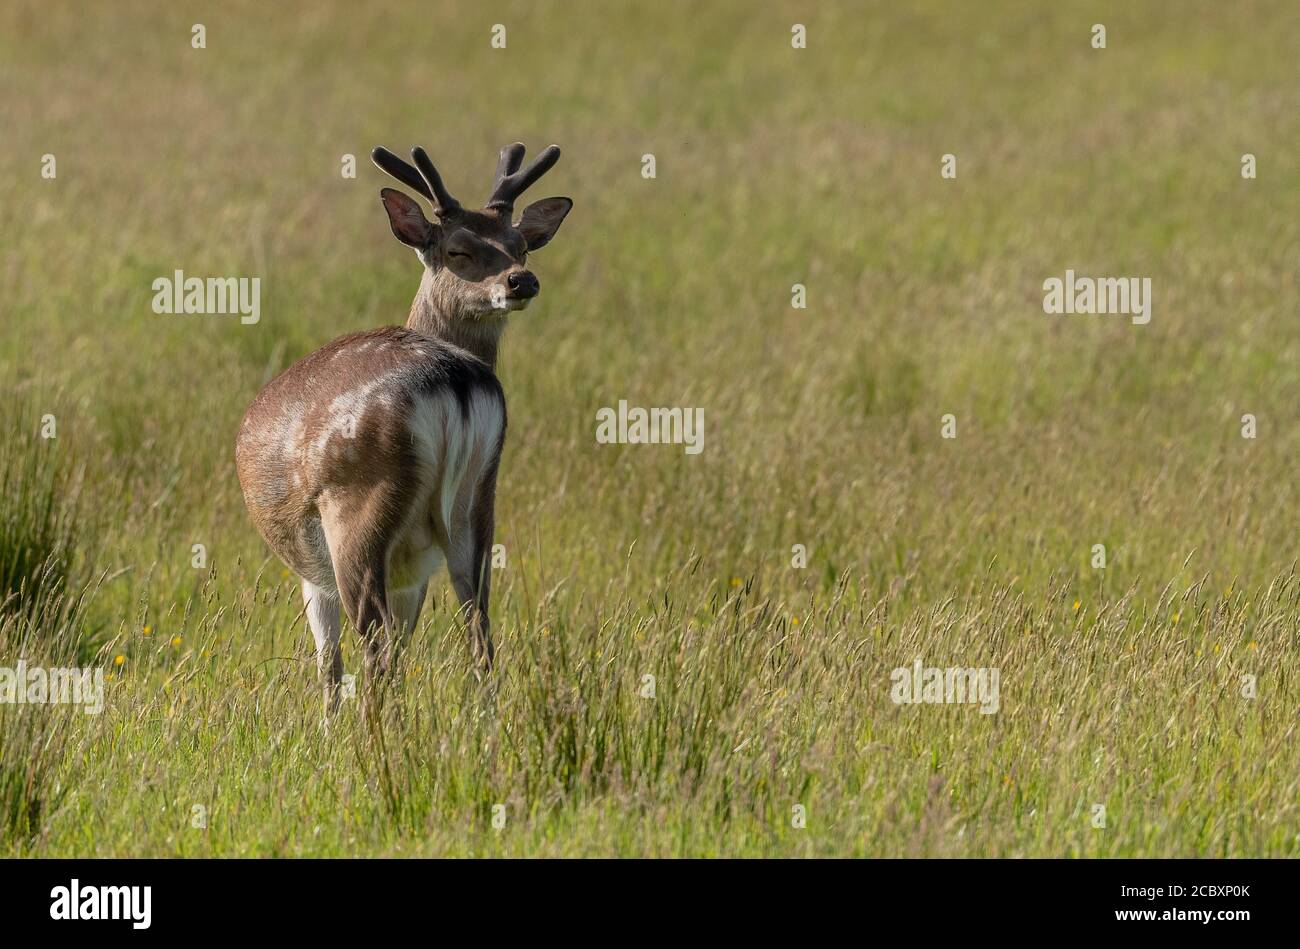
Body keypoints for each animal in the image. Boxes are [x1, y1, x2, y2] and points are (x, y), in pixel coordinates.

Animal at [235, 141, 571, 712]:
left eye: (520, 246)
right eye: (458, 250)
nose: (521, 279)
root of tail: (453, 380)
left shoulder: (311, 570)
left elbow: (329, 665)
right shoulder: (417, 570)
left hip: (357, 513)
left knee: (374, 649)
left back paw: (374, 732)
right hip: (478, 505)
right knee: (479, 633)